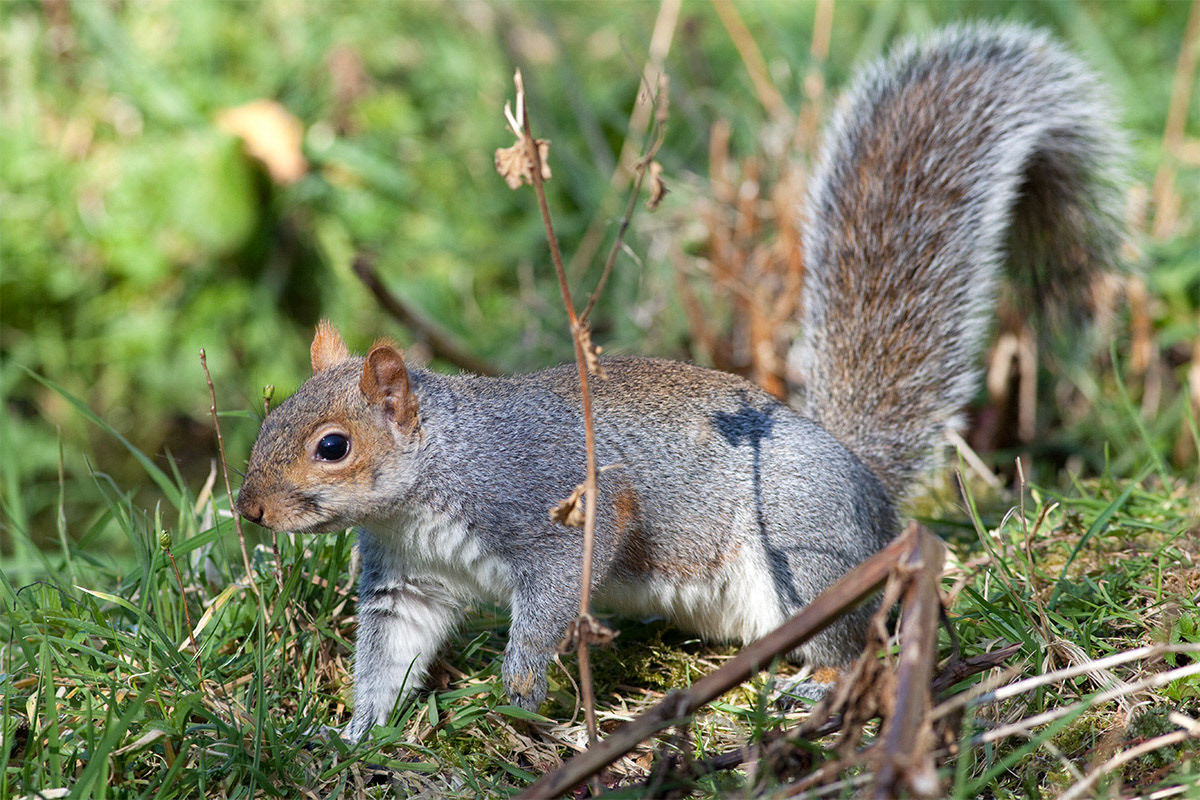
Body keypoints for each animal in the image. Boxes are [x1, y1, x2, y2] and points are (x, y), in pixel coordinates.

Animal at [236, 23, 1125, 743]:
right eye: (265, 426)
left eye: (332, 447)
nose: (248, 509)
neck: (426, 483)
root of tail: (866, 483)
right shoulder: (407, 579)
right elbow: (390, 655)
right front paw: (357, 734)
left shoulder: (555, 505)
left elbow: (553, 598)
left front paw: (516, 695)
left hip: (804, 551)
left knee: (845, 640)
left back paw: (816, 687)